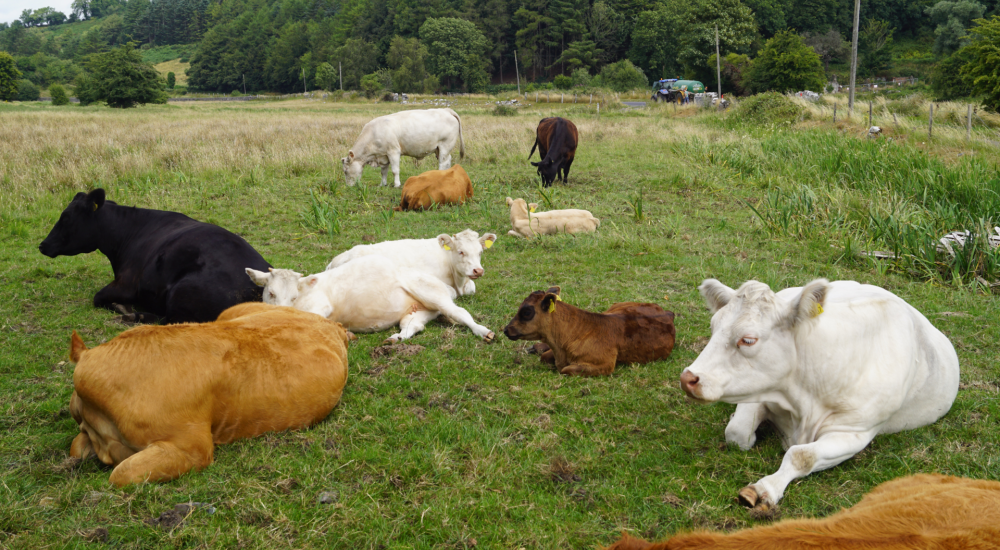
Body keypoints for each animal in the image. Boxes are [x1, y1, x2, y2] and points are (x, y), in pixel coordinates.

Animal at [38, 189, 271, 324]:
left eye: (66, 217)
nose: (43, 245)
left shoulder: (126, 283)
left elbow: (97, 297)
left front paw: (121, 306)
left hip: (182, 292)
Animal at [246, 255, 495, 343]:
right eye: (271, 293)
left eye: (294, 296)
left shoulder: (322, 305)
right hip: (418, 311)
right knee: (413, 326)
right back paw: (395, 339)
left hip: (431, 293)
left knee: (460, 313)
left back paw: (484, 331)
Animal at [325, 229, 497, 297]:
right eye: (461, 251)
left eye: (480, 252)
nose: (478, 271)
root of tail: (335, 260)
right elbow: (451, 292)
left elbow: (471, 288)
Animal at [503, 287, 675, 376]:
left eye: (526, 312)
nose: (506, 330)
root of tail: (667, 313)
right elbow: (545, 357)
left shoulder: (605, 365)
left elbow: (566, 369)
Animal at [680, 278, 960, 510]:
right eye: (713, 327)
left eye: (748, 340)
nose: (688, 378)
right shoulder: (759, 390)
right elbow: (737, 434)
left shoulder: (855, 431)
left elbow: (800, 455)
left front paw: (765, 488)